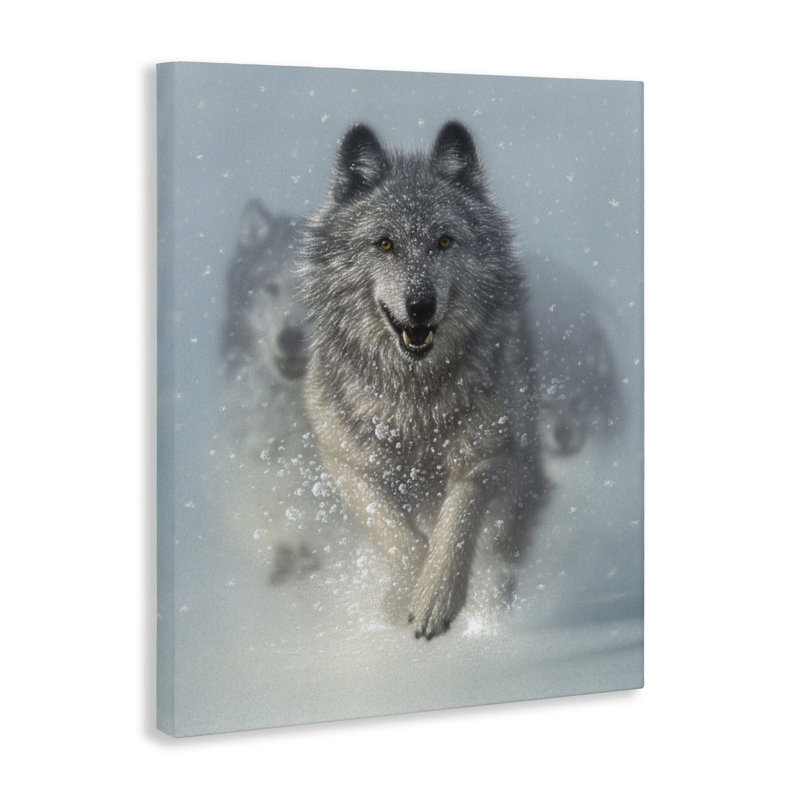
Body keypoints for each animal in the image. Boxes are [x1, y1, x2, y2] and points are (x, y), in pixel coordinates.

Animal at [300, 122, 545, 639]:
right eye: (385, 244)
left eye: (445, 242)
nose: (420, 306)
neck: (412, 402)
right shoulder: (344, 464)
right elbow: (394, 531)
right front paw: (404, 594)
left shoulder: (494, 455)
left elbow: (459, 515)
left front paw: (436, 597)